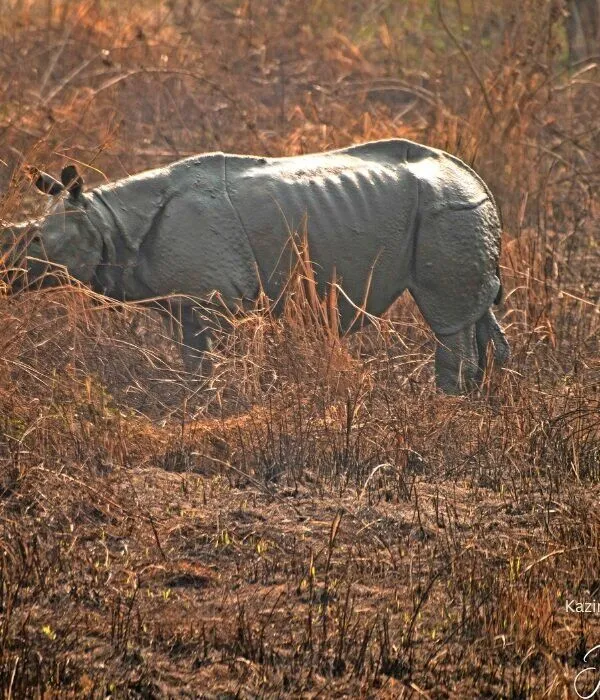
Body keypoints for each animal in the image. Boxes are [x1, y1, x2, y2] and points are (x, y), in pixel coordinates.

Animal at [1, 139, 509, 393]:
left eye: (34, 240)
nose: (5, 276)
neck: (107, 221)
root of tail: (472, 177)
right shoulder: (185, 304)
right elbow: (193, 362)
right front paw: (195, 403)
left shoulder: (214, 301)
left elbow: (210, 361)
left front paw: (214, 404)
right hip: (459, 210)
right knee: (479, 310)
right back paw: (487, 402)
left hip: (448, 209)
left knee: (447, 316)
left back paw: (448, 403)